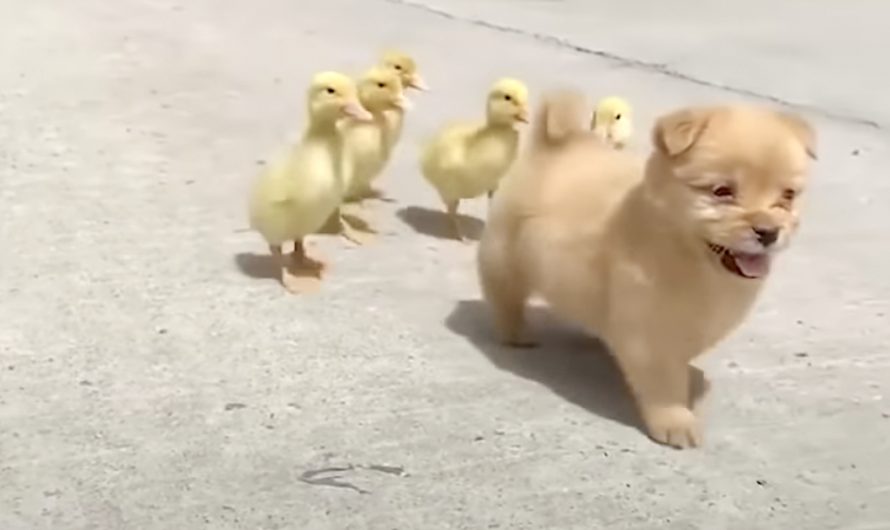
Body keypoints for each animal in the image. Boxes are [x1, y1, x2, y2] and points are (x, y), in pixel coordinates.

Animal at [476, 91, 816, 446]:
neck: (688, 254)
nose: (768, 232)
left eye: (788, 196)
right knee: (505, 295)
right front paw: (676, 420)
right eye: (722, 192)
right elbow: (663, 382)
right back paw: (515, 333)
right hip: (504, 256)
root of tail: (557, 142)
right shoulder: (649, 333)